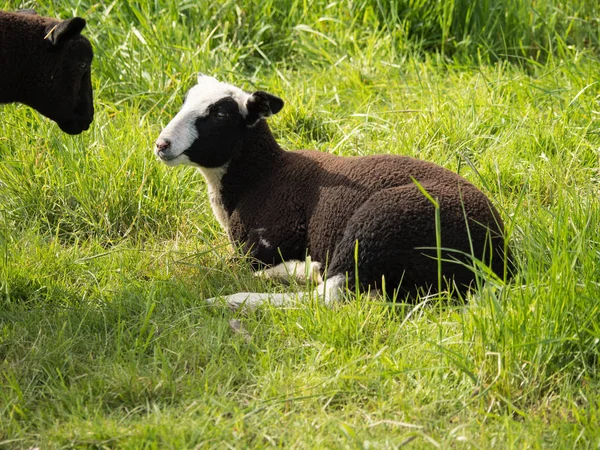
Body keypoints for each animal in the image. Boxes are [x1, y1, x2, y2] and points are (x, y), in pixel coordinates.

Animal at [154, 75, 510, 312]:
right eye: (185, 101)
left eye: (220, 114)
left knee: (327, 296)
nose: (161, 144)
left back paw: (234, 300)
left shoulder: (264, 244)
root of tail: (494, 253)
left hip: (381, 225)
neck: (261, 175)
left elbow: (234, 264)